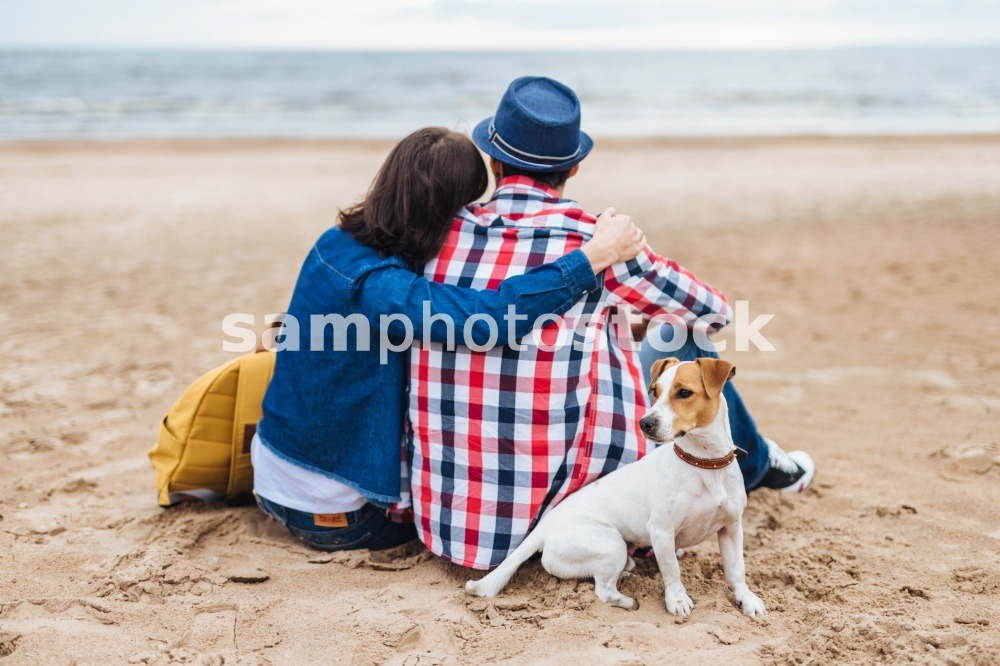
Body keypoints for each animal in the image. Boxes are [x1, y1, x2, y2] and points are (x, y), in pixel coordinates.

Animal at [466, 358, 764, 616]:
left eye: (684, 393)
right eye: (654, 392)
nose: (645, 423)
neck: (704, 463)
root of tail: (545, 525)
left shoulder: (731, 528)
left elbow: (736, 571)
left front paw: (747, 600)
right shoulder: (662, 532)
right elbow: (672, 571)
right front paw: (677, 600)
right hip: (611, 544)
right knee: (603, 591)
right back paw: (629, 599)